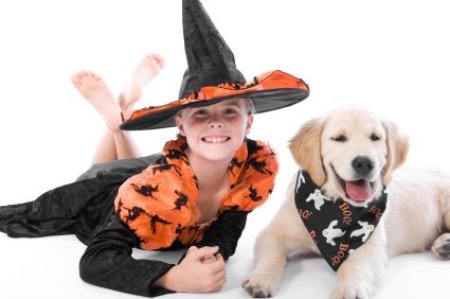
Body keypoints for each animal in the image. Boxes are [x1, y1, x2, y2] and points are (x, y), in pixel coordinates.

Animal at [244, 108, 450, 299]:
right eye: (339, 138)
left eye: (375, 137)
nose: (364, 163)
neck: (335, 205)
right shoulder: (273, 233)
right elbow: (271, 255)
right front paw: (260, 279)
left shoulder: (369, 242)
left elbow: (354, 264)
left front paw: (349, 290)